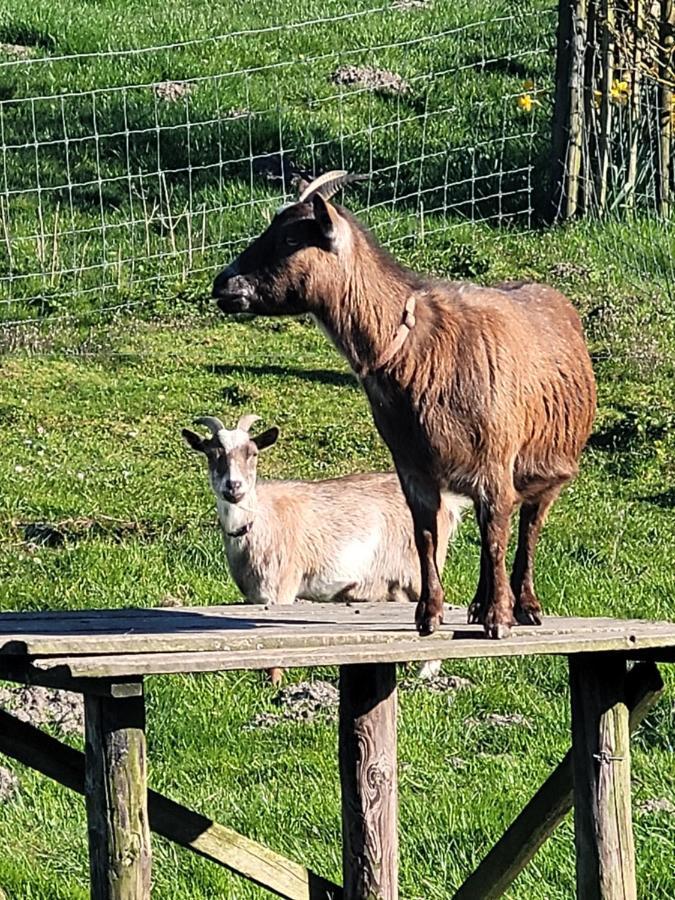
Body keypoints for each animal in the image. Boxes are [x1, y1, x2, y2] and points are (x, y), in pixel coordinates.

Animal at [211, 171, 596, 640]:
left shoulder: (494, 459)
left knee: (526, 526)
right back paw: (477, 604)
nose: (223, 284)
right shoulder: (413, 466)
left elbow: (496, 537)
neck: (417, 348)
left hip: (548, 465)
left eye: (290, 238)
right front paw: (429, 615)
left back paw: (523, 605)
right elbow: (425, 535)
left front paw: (498, 620)